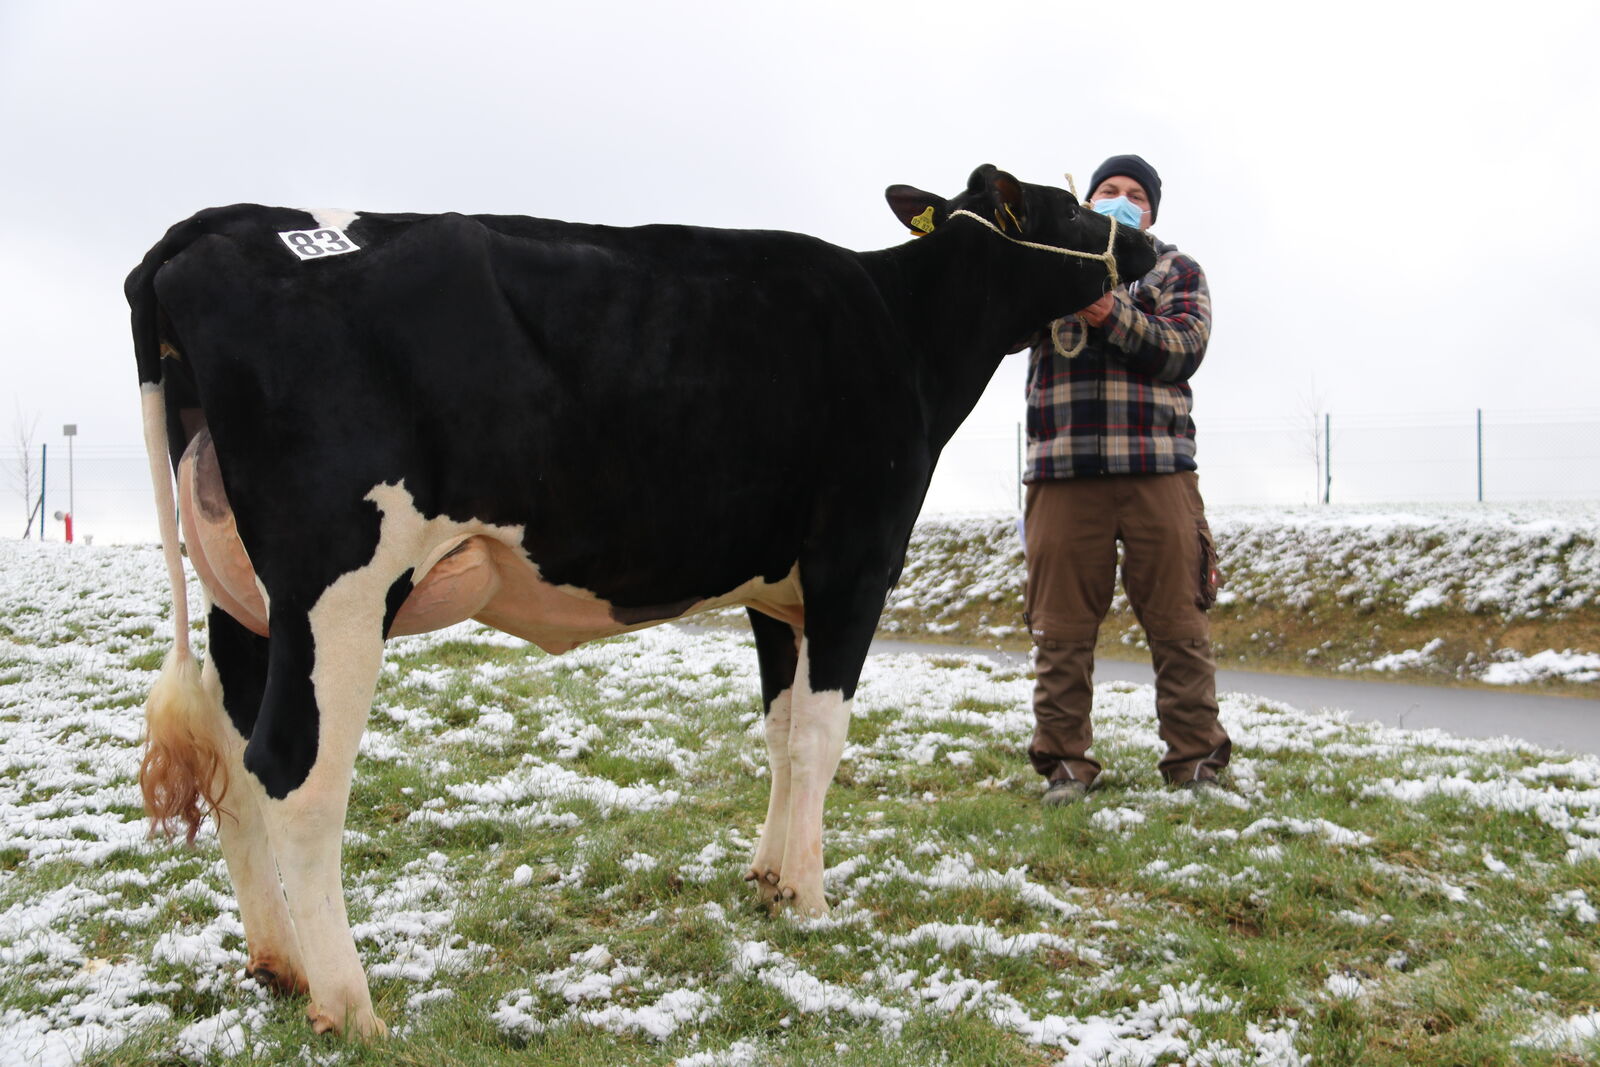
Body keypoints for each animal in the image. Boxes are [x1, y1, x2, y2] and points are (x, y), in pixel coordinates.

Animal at [124, 164, 1152, 1036]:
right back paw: (350, 1005)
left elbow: (780, 733)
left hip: (244, 597)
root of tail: (214, 222)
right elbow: (820, 738)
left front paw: (768, 879)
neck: (903, 325)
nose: (1147, 244)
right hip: (339, 580)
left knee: (232, 756)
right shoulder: (853, 562)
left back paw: (280, 964)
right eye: (1068, 208)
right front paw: (812, 899)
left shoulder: (775, 591)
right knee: (295, 770)